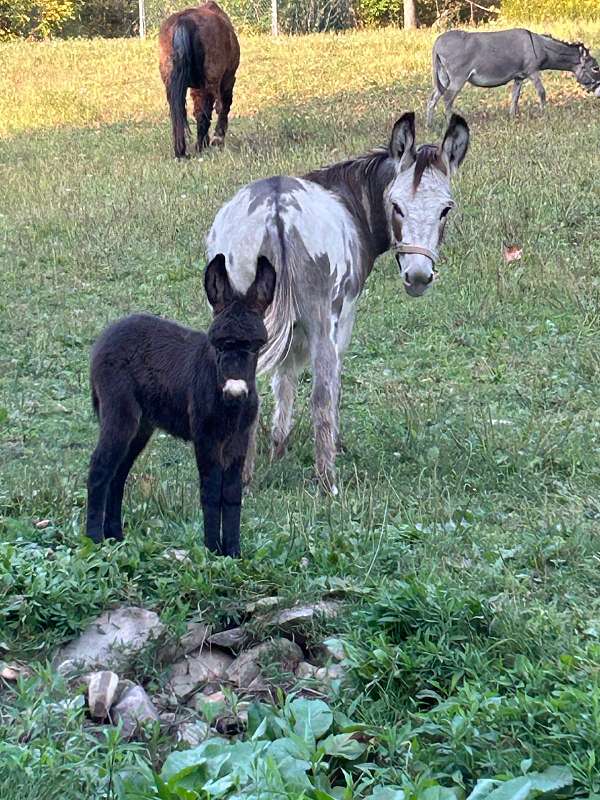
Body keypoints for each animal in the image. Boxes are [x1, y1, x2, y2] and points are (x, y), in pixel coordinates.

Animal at [85, 256, 276, 556]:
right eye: (217, 344)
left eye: (257, 346)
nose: (234, 392)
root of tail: (107, 334)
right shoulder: (205, 437)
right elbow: (211, 491)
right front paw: (212, 550)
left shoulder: (238, 439)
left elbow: (232, 494)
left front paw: (233, 552)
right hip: (120, 413)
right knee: (100, 468)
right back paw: (94, 540)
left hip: (141, 427)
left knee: (118, 474)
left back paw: (116, 536)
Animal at [159, 1, 239, 158]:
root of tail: (184, 22)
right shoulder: (227, 80)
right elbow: (222, 108)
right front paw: (216, 139)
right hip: (210, 83)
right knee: (209, 111)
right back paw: (204, 144)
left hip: (173, 86)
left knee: (178, 113)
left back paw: (181, 151)